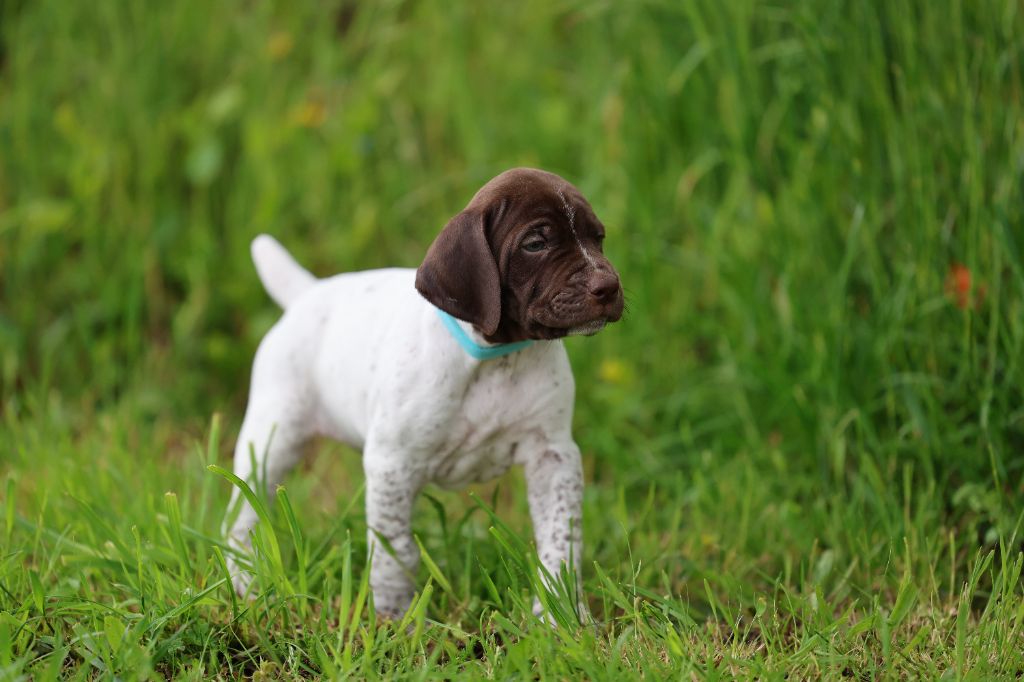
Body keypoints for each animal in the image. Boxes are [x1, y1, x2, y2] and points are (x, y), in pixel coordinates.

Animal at [224, 165, 622, 614]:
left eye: (598, 238)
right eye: (536, 243)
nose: (609, 286)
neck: (495, 360)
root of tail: (309, 292)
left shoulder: (553, 455)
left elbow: (561, 539)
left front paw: (561, 615)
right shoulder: (392, 463)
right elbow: (394, 550)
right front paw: (392, 616)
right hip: (271, 439)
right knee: (242, 517)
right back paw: (245, 584)